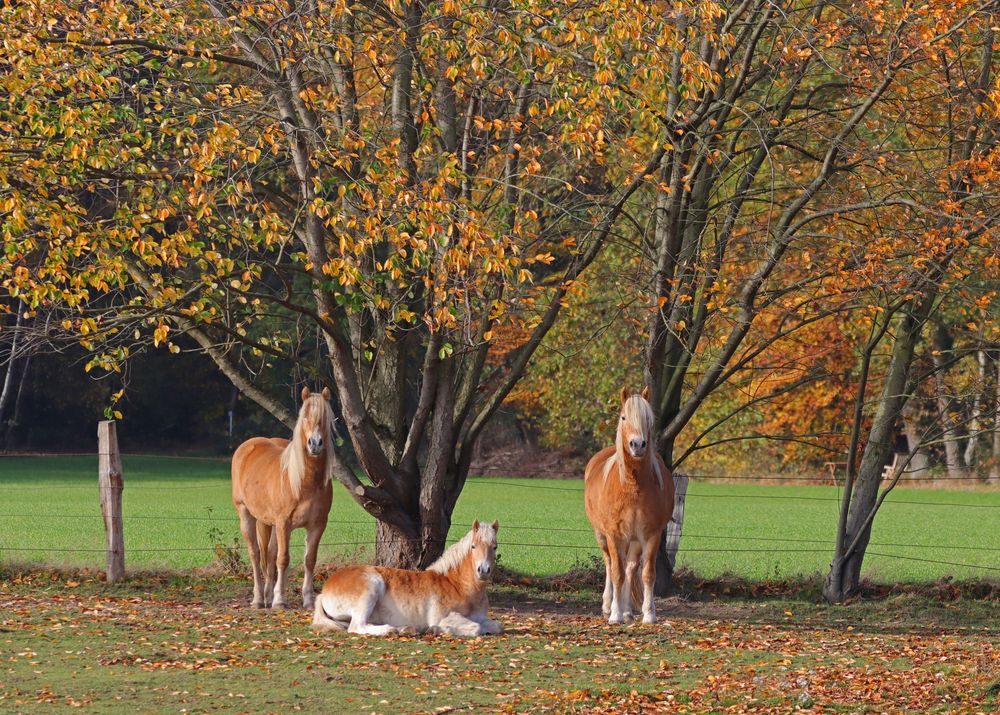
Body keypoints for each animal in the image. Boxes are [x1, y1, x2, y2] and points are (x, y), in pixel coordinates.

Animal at [229, 386, 336, 608]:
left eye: (325, 417)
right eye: (305, 416)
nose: (315, 443)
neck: (305, 482)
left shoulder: (317, 525)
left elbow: (309, 559)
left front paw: (308, 599)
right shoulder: (283, 523)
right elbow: (283, 559)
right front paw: (279, 600)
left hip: (269, 523)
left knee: (269, 554)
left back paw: (267, 596)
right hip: (246, 514)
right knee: (255, 554)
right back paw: (259, 599)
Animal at [310, 520, 504, 636]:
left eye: (495, 547)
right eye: (473, 546)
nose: (483, 570)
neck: (457, 585)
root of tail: (324, 590)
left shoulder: (479, 617)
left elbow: (496, 626)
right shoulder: (444, 616)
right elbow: (476, 628)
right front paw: (437, 629)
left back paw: (405, 629)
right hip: (372, 586)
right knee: (357, 626)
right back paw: (391, 630)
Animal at [584, 386, 676, 628]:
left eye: (648, 419)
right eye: (624, 417)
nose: (637, 444)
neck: (633, 486)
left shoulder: (651, 535)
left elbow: (647, 574)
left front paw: (649, 614)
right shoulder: (614, 535)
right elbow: (616, 573)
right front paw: (614, 615)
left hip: (634, 540)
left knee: (630, 567)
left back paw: (627, 610)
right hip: (602, 535)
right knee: (610, 564)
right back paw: (609, 606)